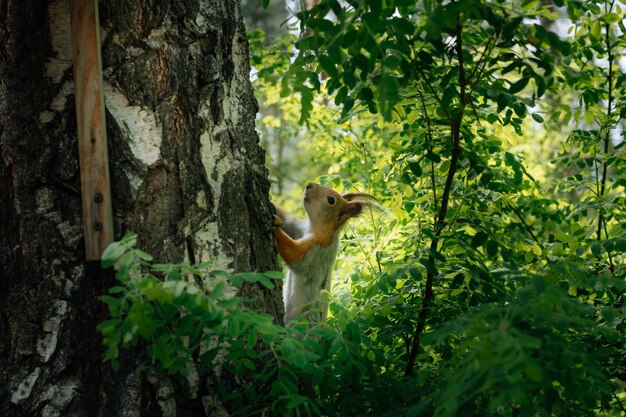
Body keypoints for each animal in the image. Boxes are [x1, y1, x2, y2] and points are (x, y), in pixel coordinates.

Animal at [272, 183, 376, 324]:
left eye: (331, 200)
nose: (309, 185)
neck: (316, 228)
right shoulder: (298, 228)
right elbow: (287, 221)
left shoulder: (317, 250)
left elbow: (293, 253)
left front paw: (276, 224)